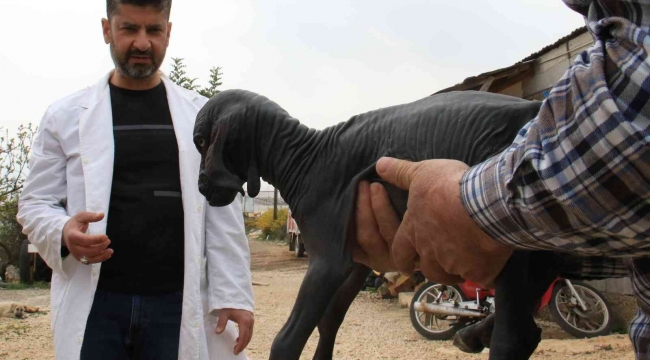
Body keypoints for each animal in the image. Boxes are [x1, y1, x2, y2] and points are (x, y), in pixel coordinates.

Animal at [191, 90, 604, 360]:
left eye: (200, 140)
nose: (201, 187)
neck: (303, 155)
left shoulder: (328, 261)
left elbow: (287, 339)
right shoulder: (356, 263)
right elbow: (328, 323)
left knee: (513, 338)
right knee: (526, 327)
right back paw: (471, 335)